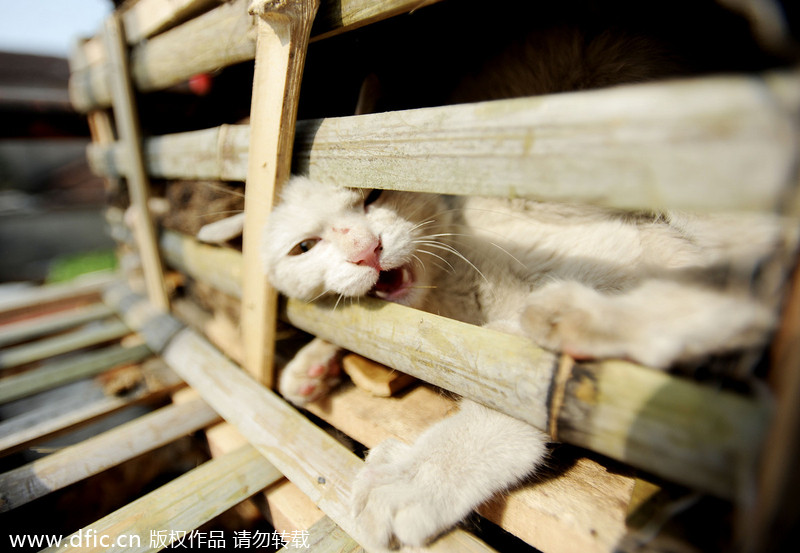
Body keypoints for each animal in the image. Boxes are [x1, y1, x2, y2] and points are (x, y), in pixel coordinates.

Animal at [260, 176, 780, 548]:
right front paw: (312, 363)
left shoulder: (614, 253)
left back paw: (576, 319)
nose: (365, 251)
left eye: (373, 195)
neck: (446, 299)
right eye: (305, 247)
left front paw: (419, 476)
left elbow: (513, 380)